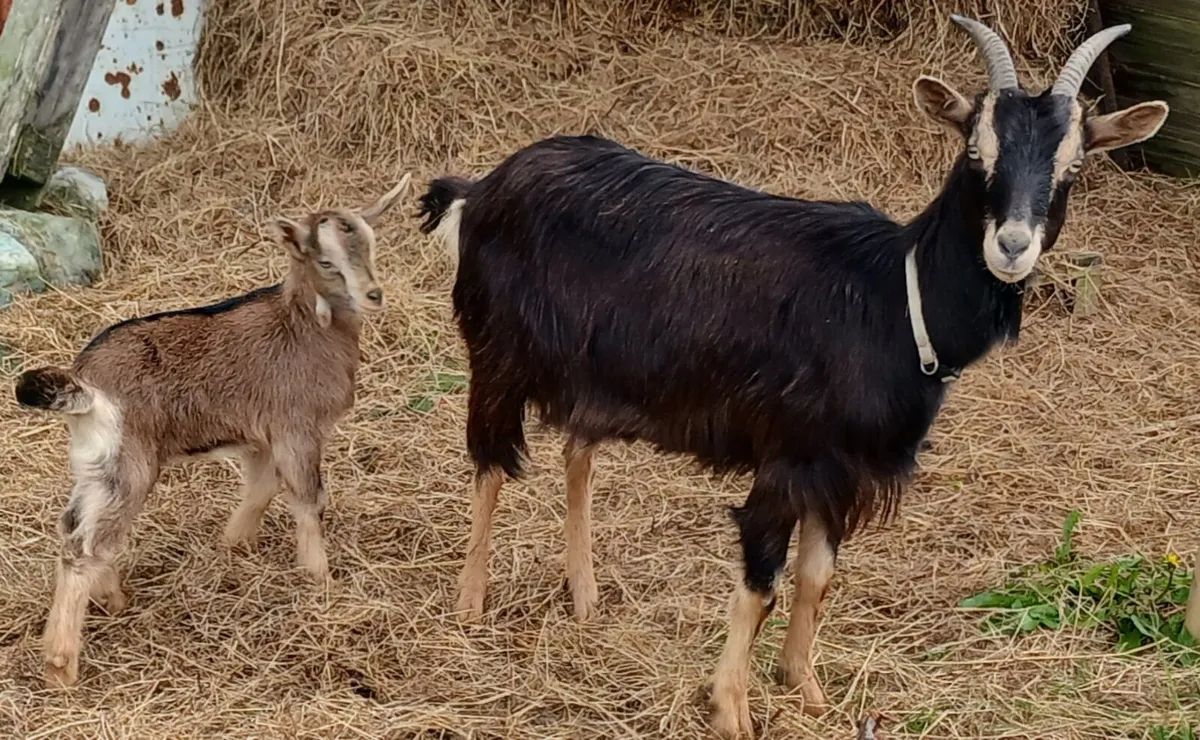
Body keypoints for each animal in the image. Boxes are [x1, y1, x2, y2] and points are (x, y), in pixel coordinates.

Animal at [13, 174, 411, 689]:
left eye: (371, 244)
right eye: (326, 260)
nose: (374, 295)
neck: (303, 327)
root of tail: (84, 383)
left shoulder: (260, 438)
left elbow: (260, 490)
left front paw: (232, 548)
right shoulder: (297, 428)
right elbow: (308, 499)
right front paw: (320, 580)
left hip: (96, 467)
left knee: (75, 527)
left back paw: (113, 600)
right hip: (129, 466)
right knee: (85, 546)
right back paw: (61, 665)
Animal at [418, 14, 1168, 738]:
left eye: (1074, 164)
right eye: (975, 152)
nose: (1011, 246)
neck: (895, 299)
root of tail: (483, 188)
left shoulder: (839, 470)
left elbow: (817, 580)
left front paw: (805, 691)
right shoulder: (788, 457)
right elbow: (762, 583)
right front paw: (731, 710)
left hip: (594, 376)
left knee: (578, 452)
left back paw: (584, 596)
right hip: (497, 353)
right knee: (490, 462)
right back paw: (469, 605)